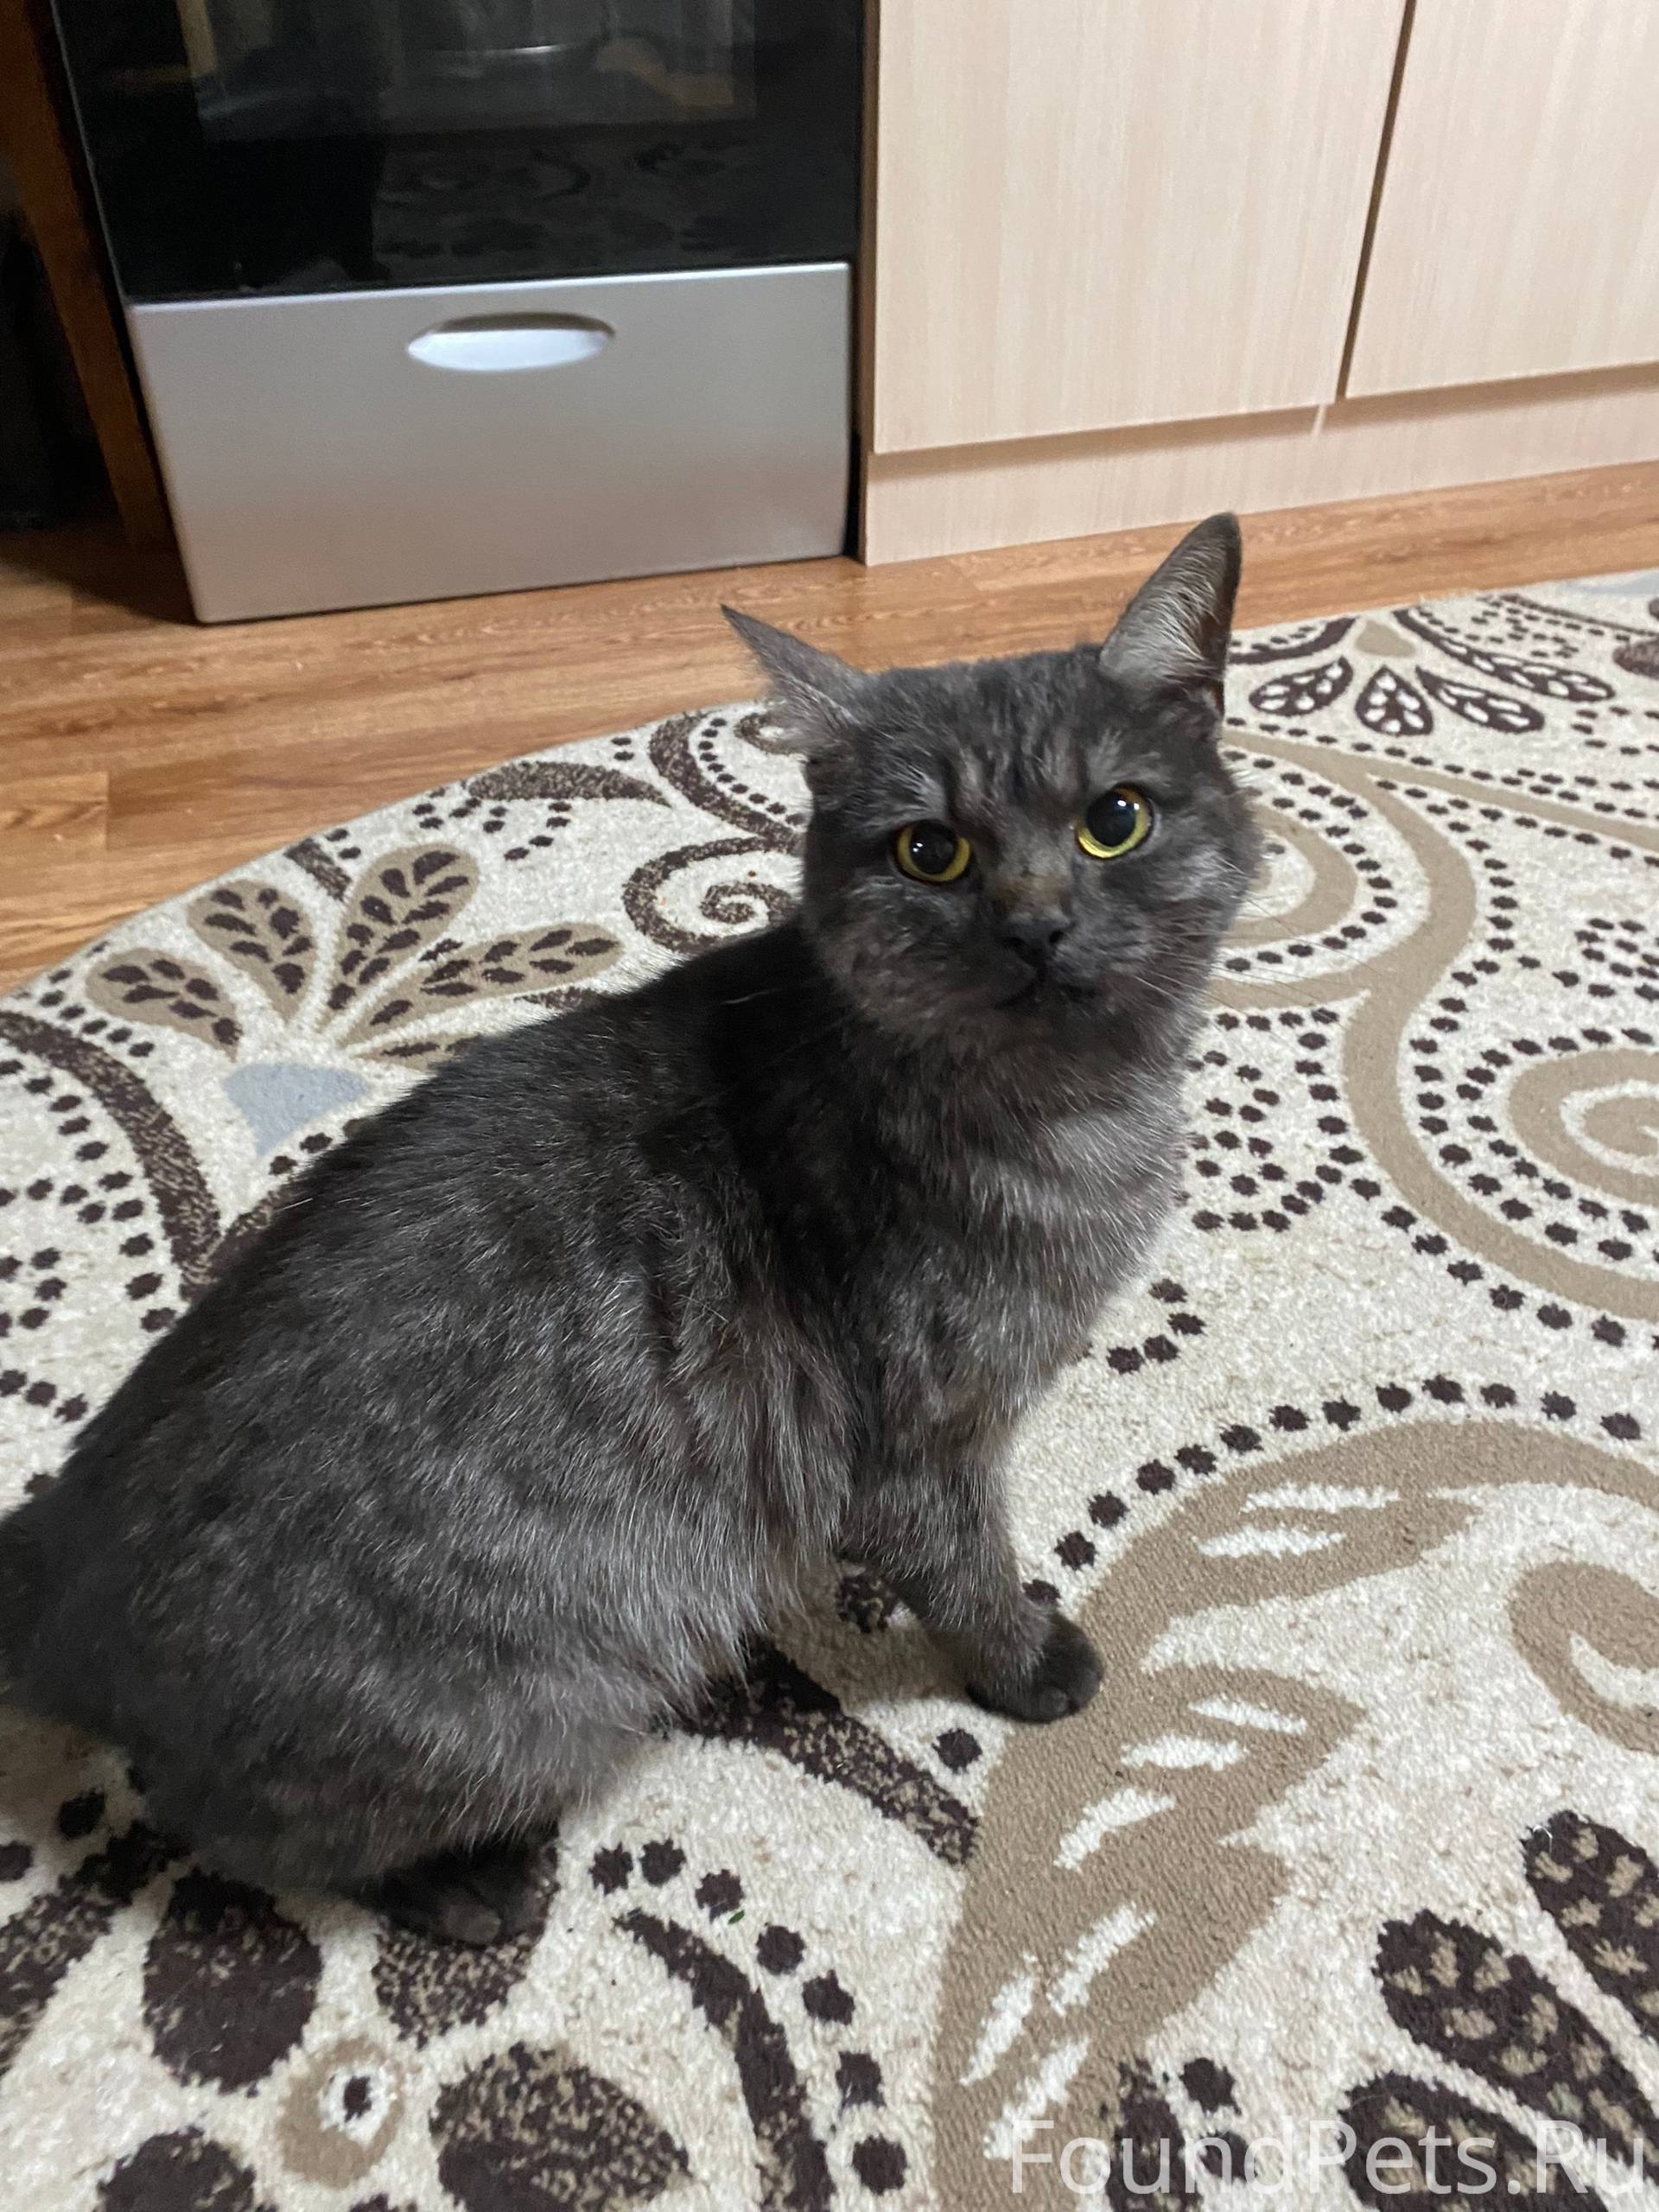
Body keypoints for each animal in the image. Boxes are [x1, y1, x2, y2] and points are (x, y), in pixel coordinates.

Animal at [0, 514, 1260, 1943]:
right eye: (928, 851)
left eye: (1116, 822)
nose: (1038, 925)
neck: (1074, 1109)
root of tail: (57, 1557)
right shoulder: (919, 1435)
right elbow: (968, 1570)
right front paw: (1031, 1662)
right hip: (539, 1698)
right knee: (230, 1823)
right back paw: (470, 1884)